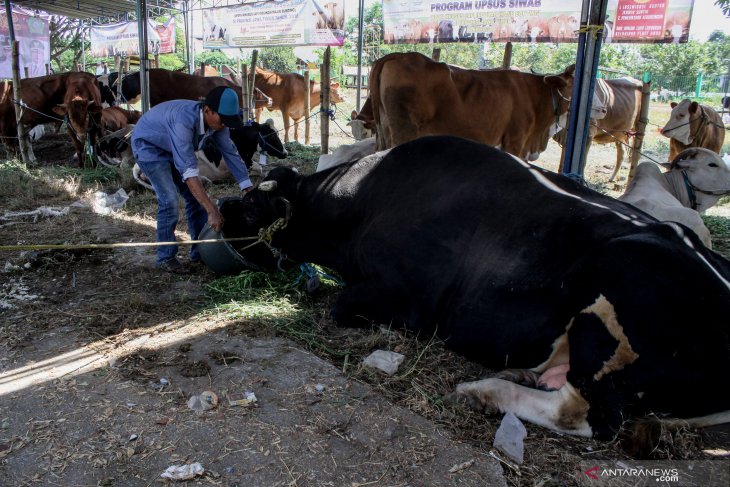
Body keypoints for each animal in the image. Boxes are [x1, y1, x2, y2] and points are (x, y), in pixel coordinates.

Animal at [216, 135, 728, 456]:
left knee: (585, 414)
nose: (220, 205)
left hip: (615, 308)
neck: (363, 199)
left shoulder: (407, 301)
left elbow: (340, 305)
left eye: (251, 204)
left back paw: (484, 391)